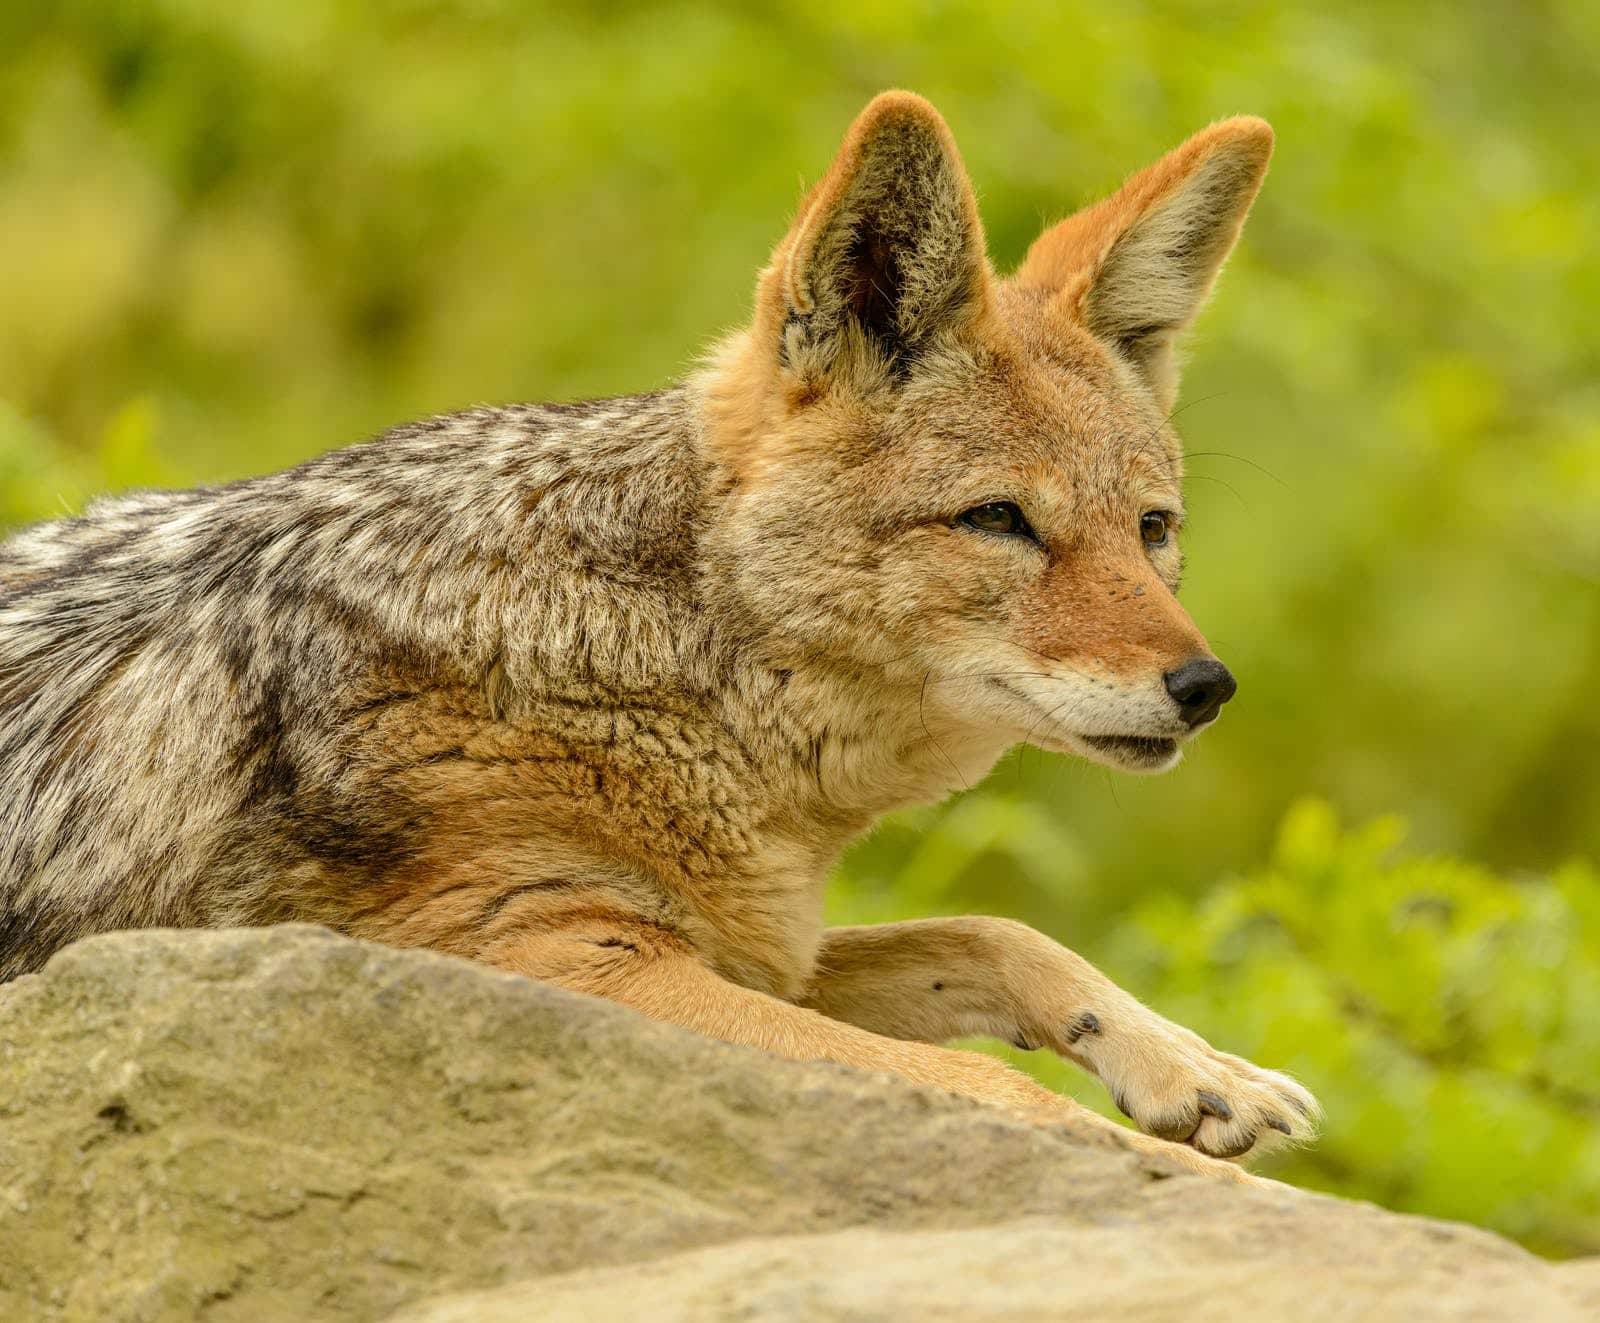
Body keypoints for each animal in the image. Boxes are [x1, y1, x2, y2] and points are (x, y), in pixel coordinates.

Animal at [3, 95, 1312, 1177]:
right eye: (998, 521)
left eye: (1151, 531)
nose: (1205, 686)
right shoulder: (548, 958)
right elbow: (985, 1084)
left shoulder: (756, 947)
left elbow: (997, 934)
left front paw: (1203, 1074)